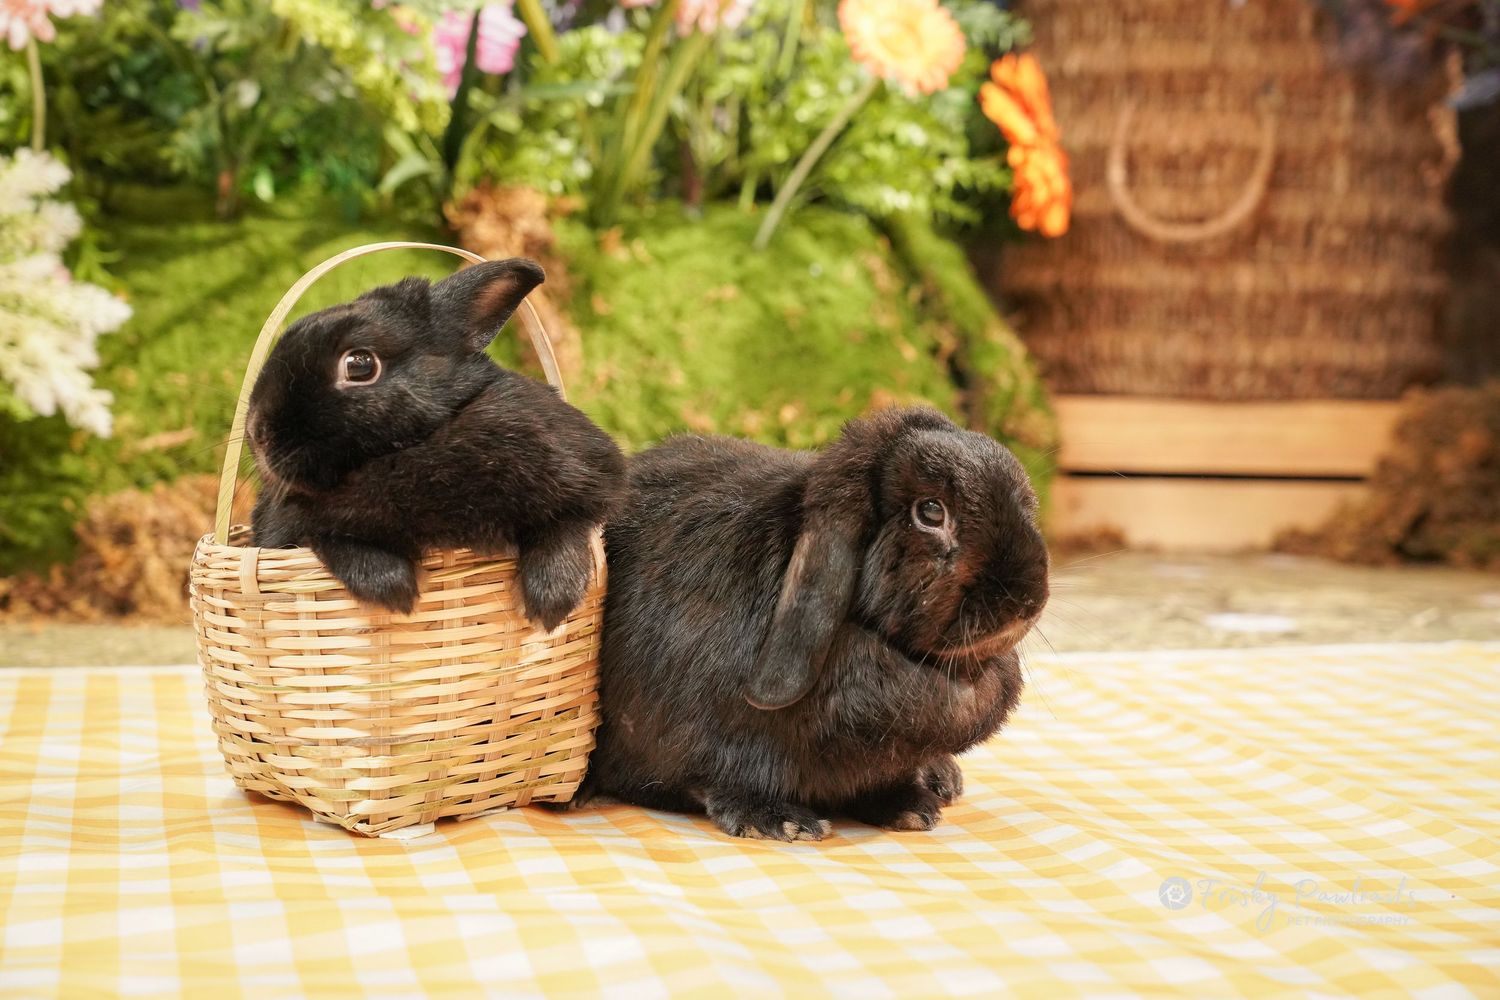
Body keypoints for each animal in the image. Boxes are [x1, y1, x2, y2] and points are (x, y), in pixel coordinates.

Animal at [245, 258, 625, 630]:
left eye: (360, 365)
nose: (256, 432)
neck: (413, 445)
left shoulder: (587, 474)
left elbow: (566, 526)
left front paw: (553, 599)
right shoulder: (289, 528)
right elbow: (330, 537)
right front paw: (394, 590)